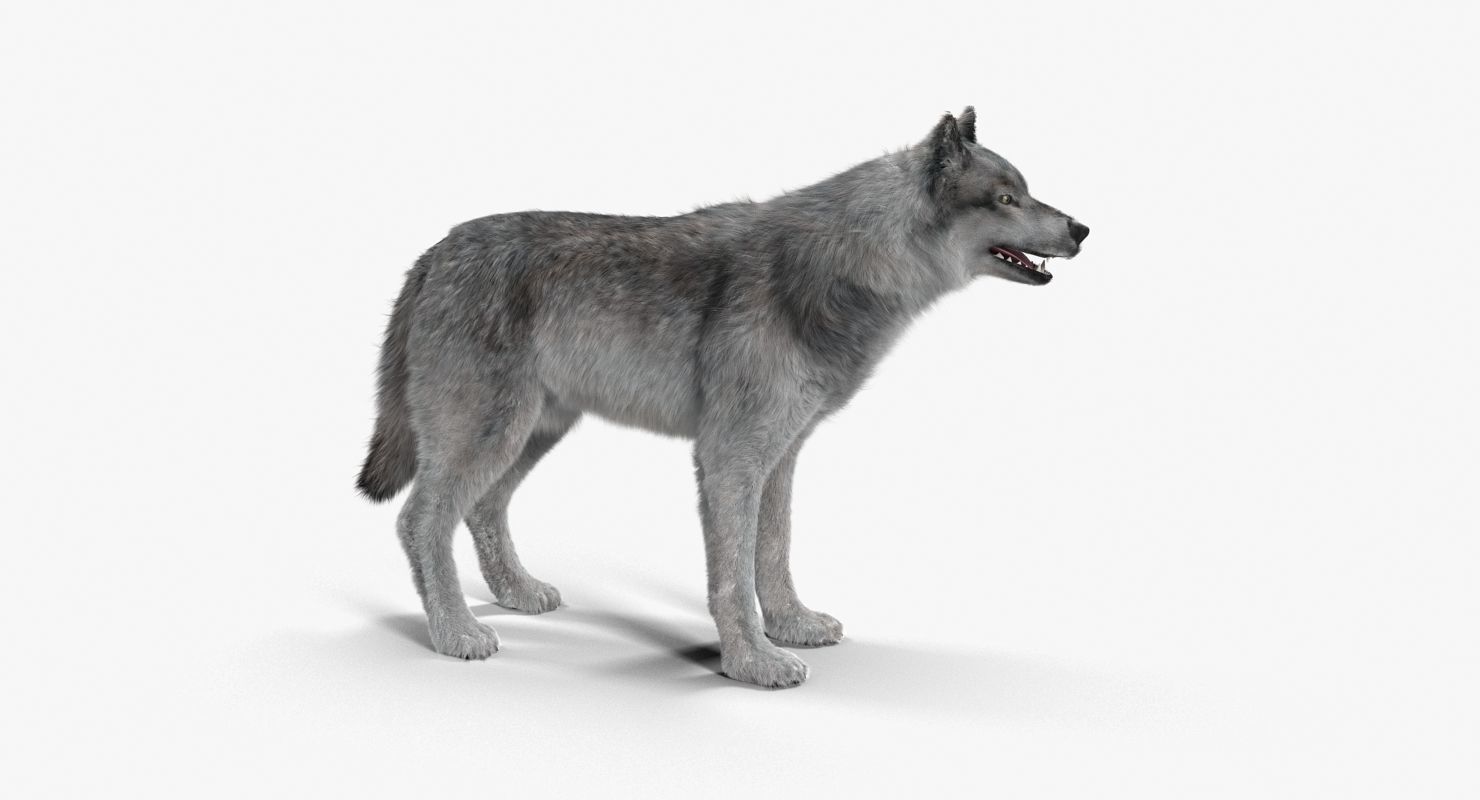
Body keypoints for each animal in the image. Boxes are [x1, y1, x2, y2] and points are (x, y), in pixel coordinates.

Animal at [356, 107, 1089, 688]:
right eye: (1005, 197)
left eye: (1026, 192)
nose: (1082, 229)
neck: (846, 266)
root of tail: (433, 252)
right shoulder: (730, 458)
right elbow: (733, 575)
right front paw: (753, 664)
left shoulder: (781, 455)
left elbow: (775, 553)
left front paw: (791, 627)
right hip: (493, 432)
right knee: (420, 521)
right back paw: (455, 634)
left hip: (531, 433)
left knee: (481, 510)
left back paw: (516, 595)